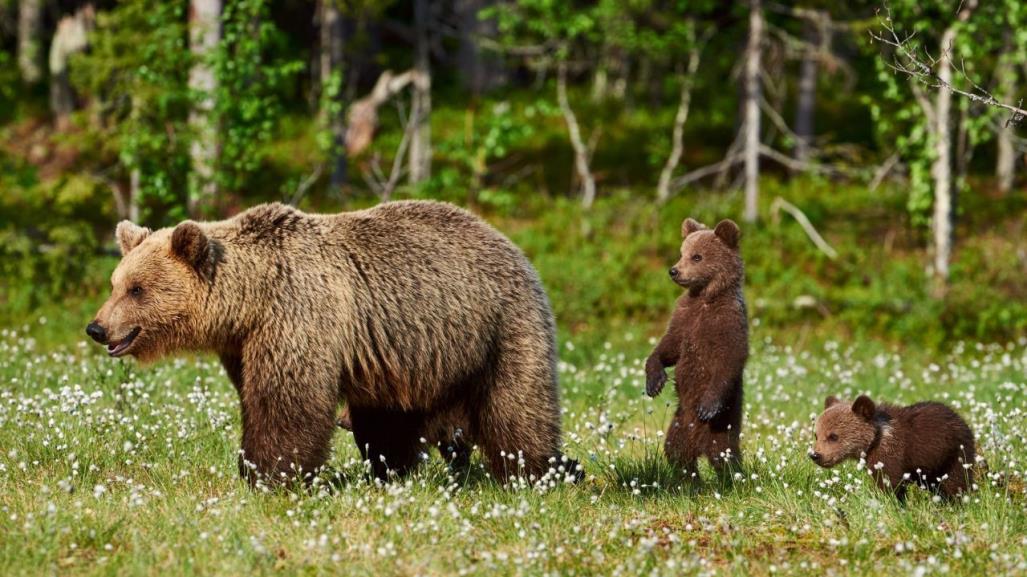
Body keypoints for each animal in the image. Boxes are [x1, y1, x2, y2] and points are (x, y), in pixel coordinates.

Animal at [84, 200, 575, 482]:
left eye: (137, 289)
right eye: (114, 283)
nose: (97, 328)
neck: (250, 301)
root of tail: (510, 243)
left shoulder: (298, 314)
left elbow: (287, 401)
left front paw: (269, 474)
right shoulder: (244, 344)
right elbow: (255, 395)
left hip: (500, 325)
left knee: (516, 407)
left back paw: (539, 470)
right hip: (407, 352)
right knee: (389, 419)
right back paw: (392, 470)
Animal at [644, 215, 751, 476]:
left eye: (697, 256)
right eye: (682, 252)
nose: (674, 270)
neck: (705, 297)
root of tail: (699, 445)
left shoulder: (727, 322)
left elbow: (730, 358)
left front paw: (708, 405)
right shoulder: (684, 318)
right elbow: (669, 347)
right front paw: (654, 381)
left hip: (722, 426)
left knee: (725, 457)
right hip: (679, 423)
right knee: (676, 452)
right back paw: (690, 477)